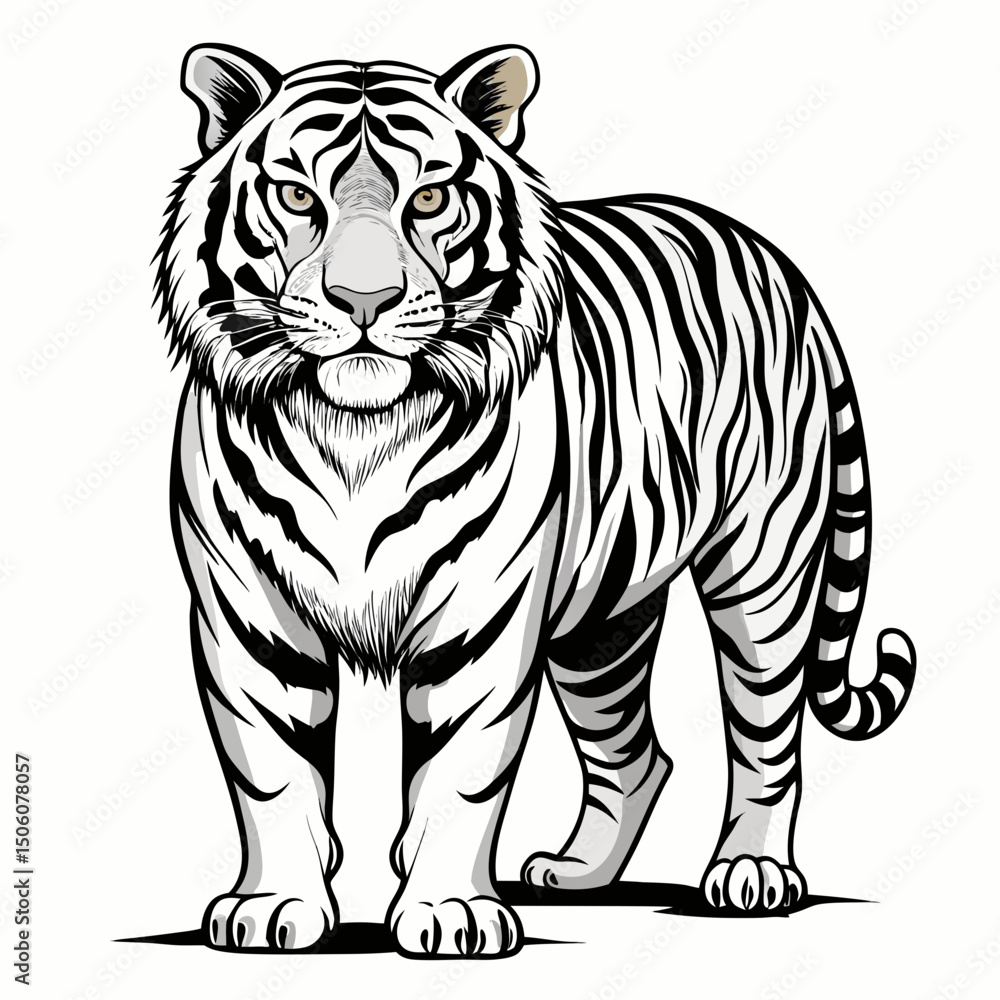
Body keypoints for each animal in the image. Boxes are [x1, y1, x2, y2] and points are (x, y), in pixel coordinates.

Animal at [154, 41, 917, 957]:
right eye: (298, 197)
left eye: (430, 199)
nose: (365, 302)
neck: (354, 433)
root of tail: (778, 264)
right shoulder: (250, 616)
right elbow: (272, 771)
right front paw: (273, 907)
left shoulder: (479, 616)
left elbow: (461, 773)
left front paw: (450, 911)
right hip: (602, 623)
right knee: (636, 755)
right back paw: (577, 874)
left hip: (763, 571)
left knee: (768, 739)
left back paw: (750, 874)